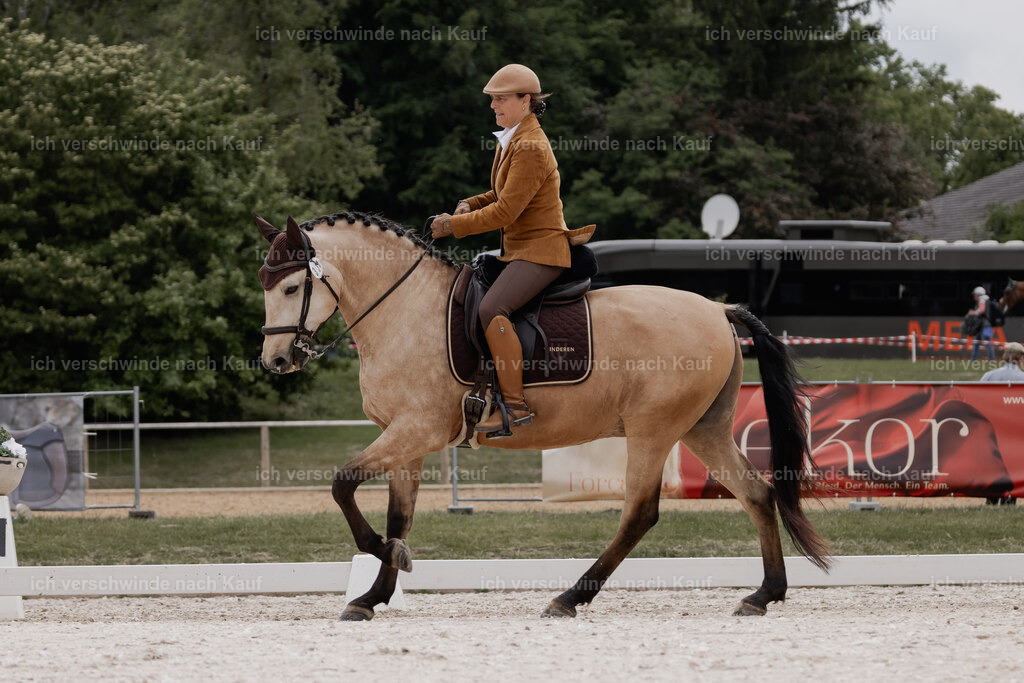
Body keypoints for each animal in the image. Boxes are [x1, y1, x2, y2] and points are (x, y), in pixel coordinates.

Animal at [256, 211, 831, 621]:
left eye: (290, 288)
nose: (276, 361)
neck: (404, 309)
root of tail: (716, 308)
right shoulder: (405, 437)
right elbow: (400, 516)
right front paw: (373, 593)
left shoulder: (416, 430)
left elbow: (342, 484)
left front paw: (386, 556)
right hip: (702, 429)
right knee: (757, 494)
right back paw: (764, 594)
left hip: (654, 430)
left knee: (639, 514)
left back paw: (570, 598)